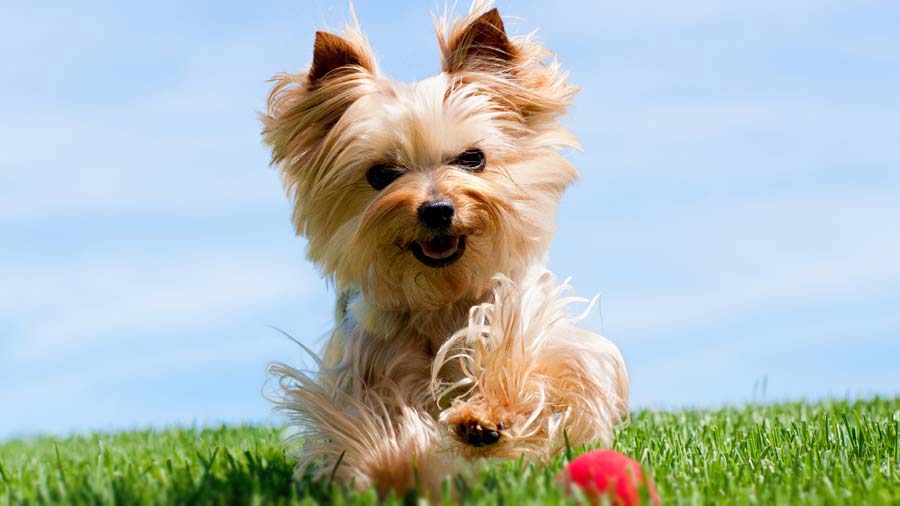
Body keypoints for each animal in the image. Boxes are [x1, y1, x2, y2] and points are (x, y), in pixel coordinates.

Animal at [260, 1, 624, 496]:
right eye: (381, 174)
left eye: (473, 159)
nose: (436, 209)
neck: (441, 293)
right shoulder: (365, 366)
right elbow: (373, 422)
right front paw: (400, 464)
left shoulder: (529, 318)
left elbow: (539, 363)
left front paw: (486, 418)